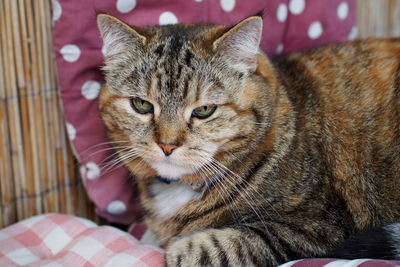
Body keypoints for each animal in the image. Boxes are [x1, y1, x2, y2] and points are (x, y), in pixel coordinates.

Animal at [96, 13, 400, 266]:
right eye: (141, 105)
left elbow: (227, 245)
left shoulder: (320, 228)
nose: (167, 145)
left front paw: (175, 250)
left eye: (204, 110)